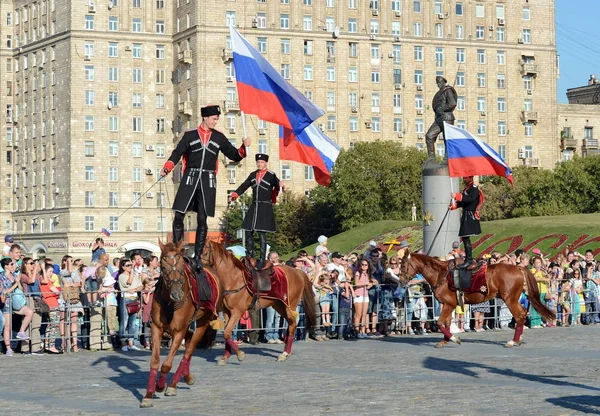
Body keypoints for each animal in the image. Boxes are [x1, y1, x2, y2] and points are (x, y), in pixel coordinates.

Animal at [139, 242, 224, 408]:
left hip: (202, 323)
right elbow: (155, 362)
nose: (176, 294)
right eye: (163, 266)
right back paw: (185, 376)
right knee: (188, 347)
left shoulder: (179, 331)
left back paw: (173, 384)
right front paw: (148, 395)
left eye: (180, 266)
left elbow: (167, 364)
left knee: (188, 351)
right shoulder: (157, 328)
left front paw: (161, 386)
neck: (169, 302)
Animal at [398, 252, 556, 350]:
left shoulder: (449, 304)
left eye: (404, 265)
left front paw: (454, 339)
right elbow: (446, 323)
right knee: (522, 314)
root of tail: (518, 267)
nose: (401, 281)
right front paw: (445, 340)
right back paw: (519, 338)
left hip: (509, 299)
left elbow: (440, 322)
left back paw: (513, 341)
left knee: (519, 315)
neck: (441, 274)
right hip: (512, 299)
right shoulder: (447, 305)